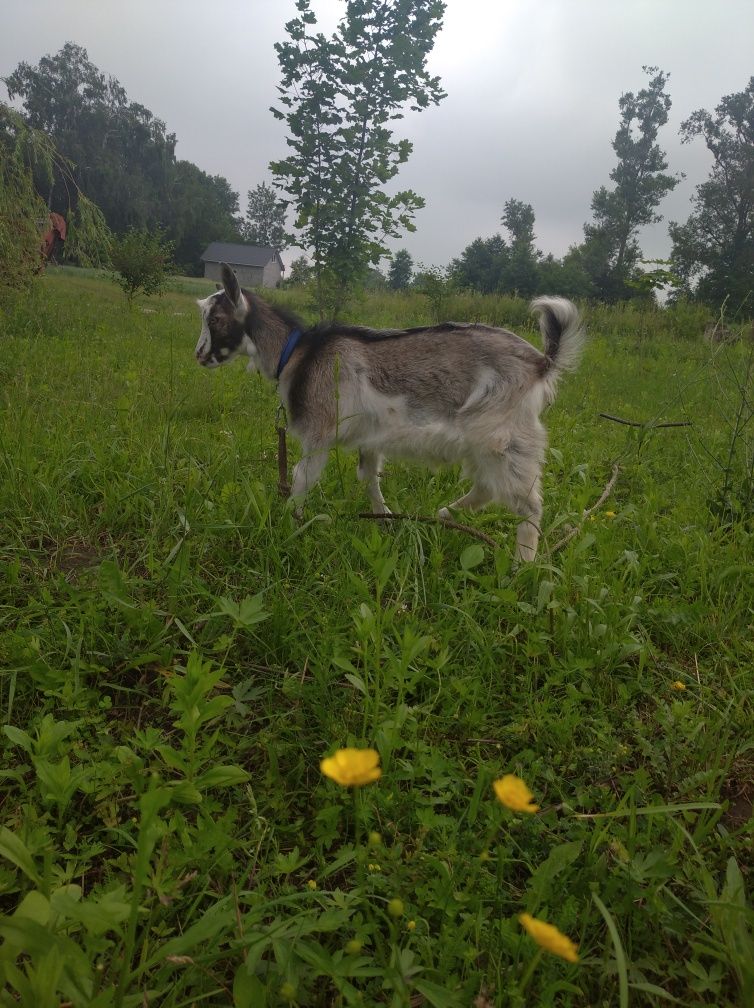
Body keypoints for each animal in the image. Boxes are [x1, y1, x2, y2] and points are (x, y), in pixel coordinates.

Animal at [194, 264, 584, 560]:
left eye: (216, 318)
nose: (200, 356)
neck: (299, 353)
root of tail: (541, 363)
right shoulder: (371, 437)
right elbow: (369, 478)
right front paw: (383, 521)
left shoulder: (320, 431)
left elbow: (303, 477)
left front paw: (289, 525)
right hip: (484, 440)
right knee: (488, 487)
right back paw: (444, 515)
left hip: (501, 437)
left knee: (528, 504)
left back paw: (522, 566)